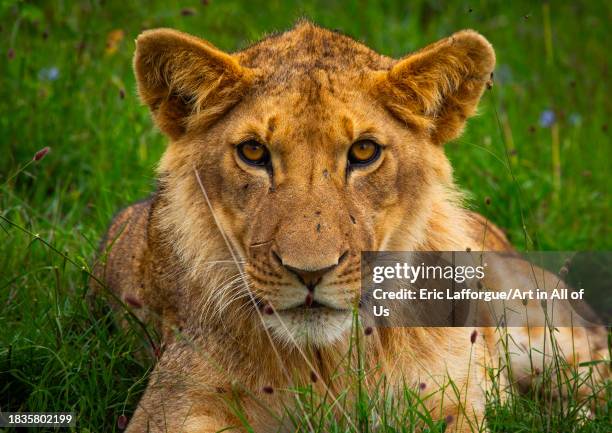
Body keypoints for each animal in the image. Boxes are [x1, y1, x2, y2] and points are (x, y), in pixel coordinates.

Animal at [93, 21, 608, 432]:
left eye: (363, 152)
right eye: (254, 152)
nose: (310, 273)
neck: (330, 362)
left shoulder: (450, 401)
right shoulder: (173, 405)